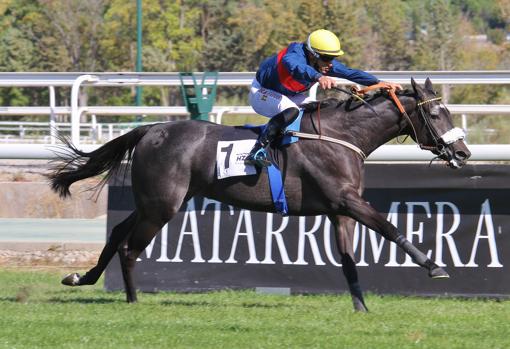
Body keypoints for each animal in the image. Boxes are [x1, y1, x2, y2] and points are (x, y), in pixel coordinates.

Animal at [50, 78, 470, 310]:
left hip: (156, 201)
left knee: (118, 233)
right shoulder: (346, 200)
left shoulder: (340, 210)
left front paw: (361, 307)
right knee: (128, 247)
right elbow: (388, 227)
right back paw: (133, 300)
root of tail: (151, 129)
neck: (341, 135)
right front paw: (434, 265)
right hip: (162, 205)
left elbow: (349, 261)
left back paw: (81, 278)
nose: (463, 152)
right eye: (436, 115)